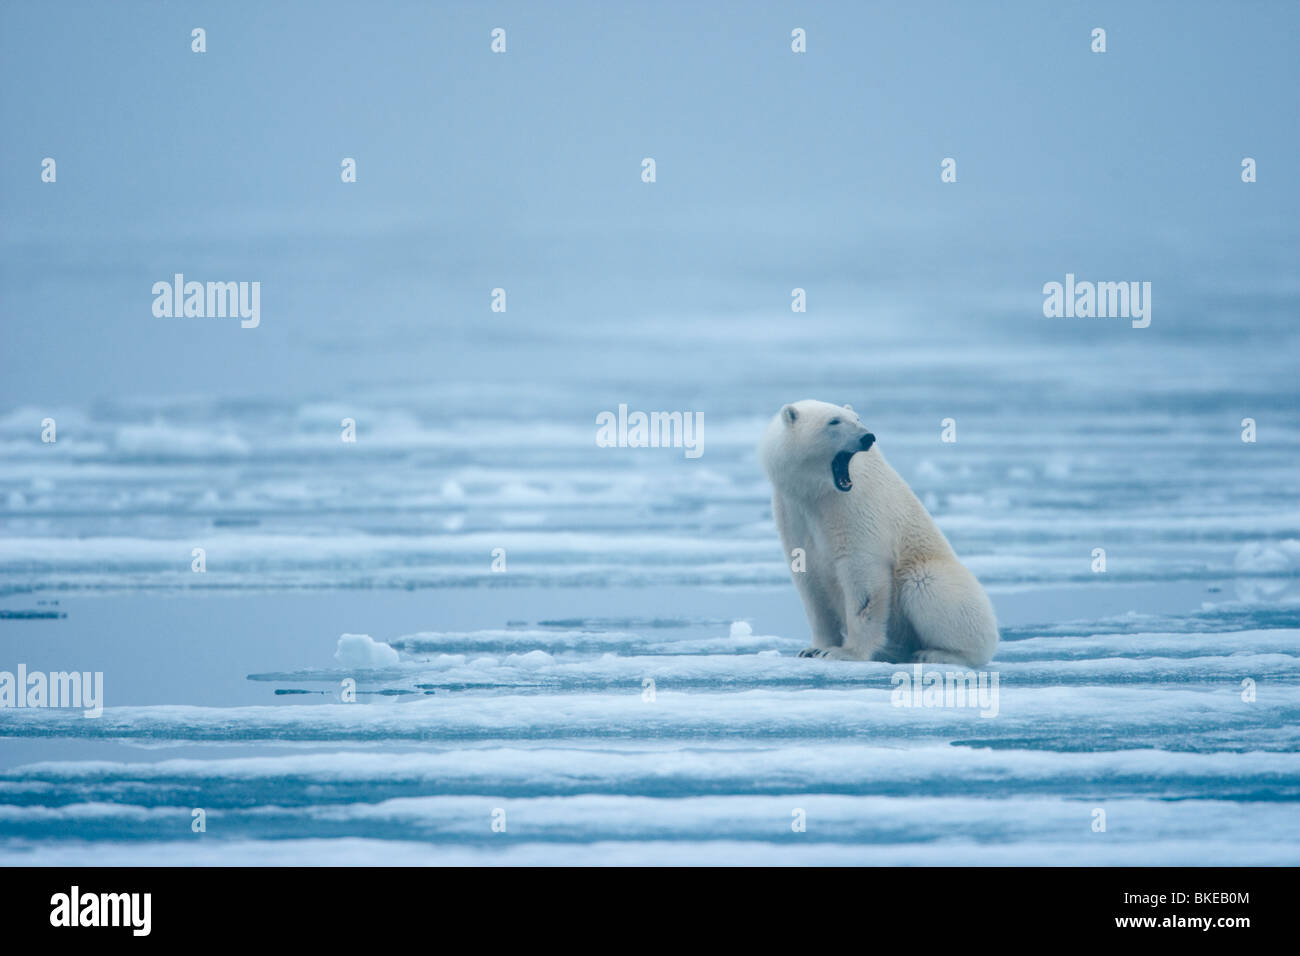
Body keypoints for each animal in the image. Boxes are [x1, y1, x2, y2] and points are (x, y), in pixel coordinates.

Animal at [759, 400, 993, 671]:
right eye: (834, 421)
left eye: (857, 418)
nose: (867, 437)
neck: (818, 493)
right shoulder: (792, 510)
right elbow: (809, 580)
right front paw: (813, 649)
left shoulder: (852, 506)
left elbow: (862, 576)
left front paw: (844, 652)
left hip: (936, 575)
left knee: (926, 585)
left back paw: (934, 654)